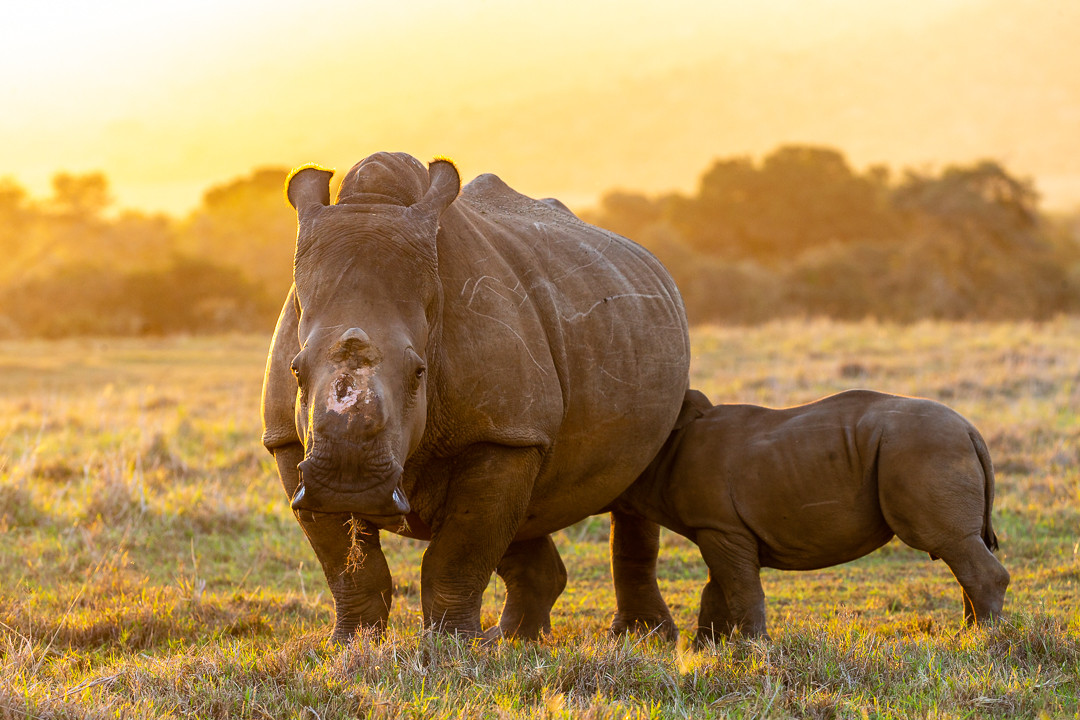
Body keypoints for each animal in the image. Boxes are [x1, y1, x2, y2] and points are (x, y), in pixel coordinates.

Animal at [261, 152, 690, 641]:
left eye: (419, 373)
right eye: (296, 370)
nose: (347, 483)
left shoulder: (501, 433)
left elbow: (457, 556)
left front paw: (451, 647)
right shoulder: (287, 442)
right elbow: (347, 567)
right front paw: (349, 643)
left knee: (633, 493)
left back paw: (640, 637)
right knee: (526, 513)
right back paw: (515, 642)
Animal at [613, 389, 1010, 644]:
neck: (668, 447)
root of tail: (971, 430)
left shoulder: (720, 527)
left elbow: (741, 588)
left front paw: (753, 650)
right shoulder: (717, 526)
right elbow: (719, 589)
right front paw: (706, 652)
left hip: (925, 449)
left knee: (950, 542)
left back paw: (981, 640)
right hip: (934, 447)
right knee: (960, 550)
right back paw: (970, 632)